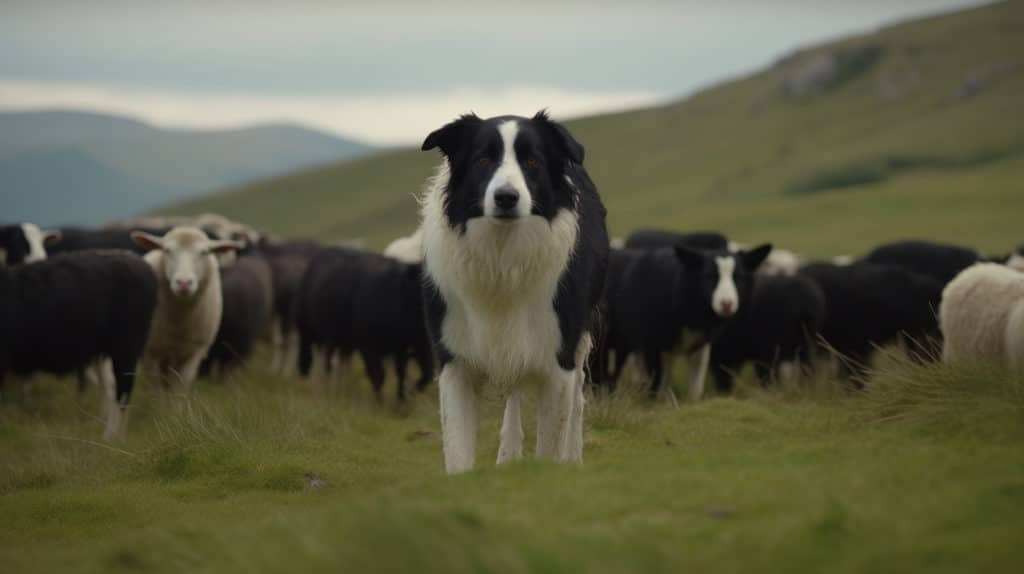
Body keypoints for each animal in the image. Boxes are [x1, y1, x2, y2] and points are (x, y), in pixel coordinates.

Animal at [131, 226, 240, 390]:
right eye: (167, 250)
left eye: (204, 252)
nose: (184, 283)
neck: (180, 320)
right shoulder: (152, 352)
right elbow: (155, 388)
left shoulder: (193, 354)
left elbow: (179, 387)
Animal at [417, 112, 606, 474]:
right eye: (483, 160)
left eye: (532, 161)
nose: (506, 197)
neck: (502, 258)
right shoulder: (454, 359)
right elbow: (458, 453)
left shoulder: (558, 358)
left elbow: (550, 443)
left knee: (576, 402)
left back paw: (572, 458)